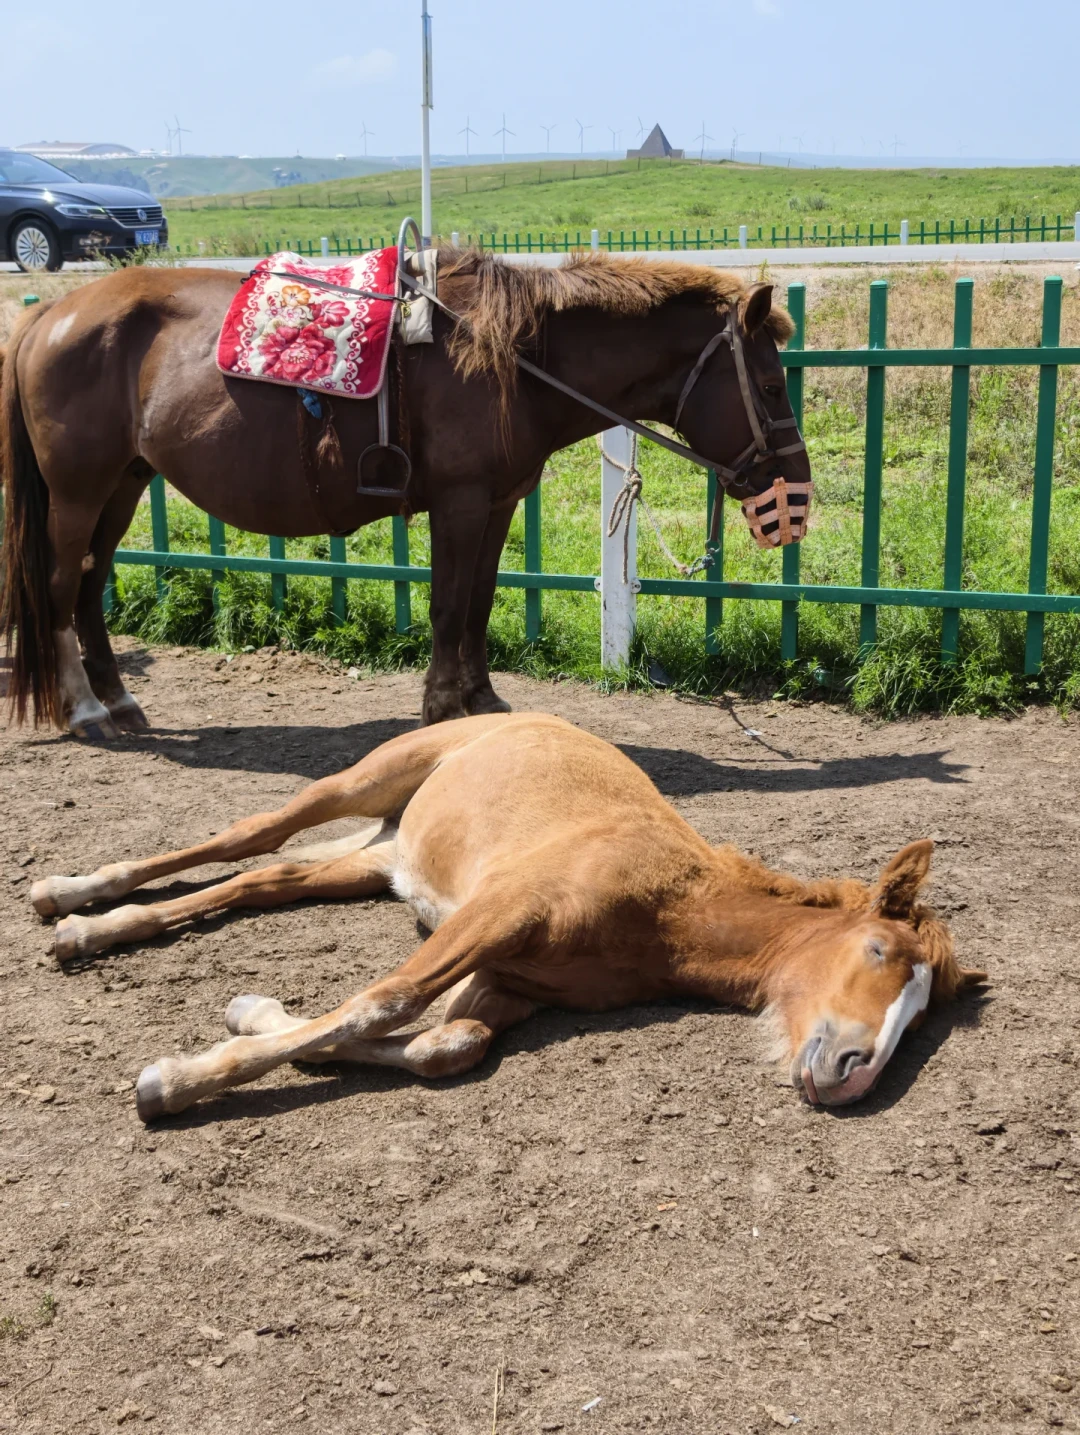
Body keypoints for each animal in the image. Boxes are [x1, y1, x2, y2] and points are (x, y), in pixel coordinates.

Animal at [0, 251, 809, 737]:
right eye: (772, 386)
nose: (795, 498)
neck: (512, 353)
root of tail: (44, 315)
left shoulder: (497, 504)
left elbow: (478, 602)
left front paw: (480, 701)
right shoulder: (460, 502)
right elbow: (449, 605)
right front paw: (441, 707)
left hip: (123, 486)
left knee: (88, 585)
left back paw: (120, 700)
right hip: (77, 494)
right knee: (57, 585)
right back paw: (83, 710)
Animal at [27, 712, 986, 1122]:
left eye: (922, 1017)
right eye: (877, 948)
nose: (856, 1071)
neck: (668, 909)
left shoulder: (508, 980)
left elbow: (444, 1045)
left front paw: (252, 1013)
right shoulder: (494, 917)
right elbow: (382, 1003)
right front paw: (174, 1081)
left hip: (377, 858)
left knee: (263, 879)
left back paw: (93, 928)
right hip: (361, 782)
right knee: (246, 835)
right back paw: (69, 896)